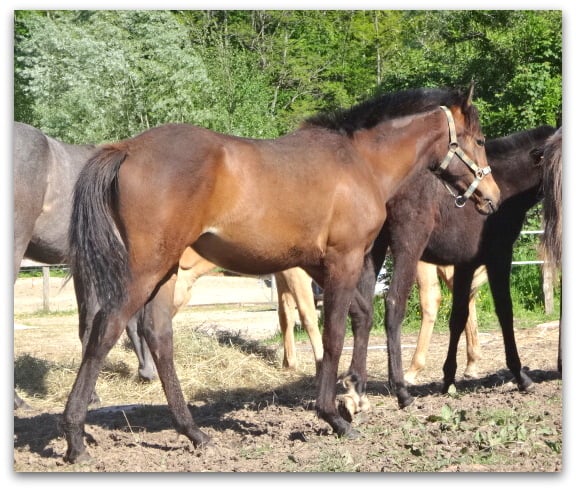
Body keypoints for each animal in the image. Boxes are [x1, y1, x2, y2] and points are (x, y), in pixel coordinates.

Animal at [63, 85, 499, 462]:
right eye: (479, 140)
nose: (491, 197)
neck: (360, 162)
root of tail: (126, 148)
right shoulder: (343, 261)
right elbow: (333, 334)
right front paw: (335, 415)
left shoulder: (319, 265)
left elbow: (360, 317)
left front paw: (356, 393)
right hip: (145, 271)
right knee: (106, 331)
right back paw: (75, 438)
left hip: (165, 273)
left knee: (158, 336)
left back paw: (193, 432)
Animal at [343, 124, 556, 413]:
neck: (506, 183)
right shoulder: (498, 257)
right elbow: (505, 312)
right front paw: (520, 375)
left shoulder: (466, 264)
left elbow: (458, 317)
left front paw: (448, 378)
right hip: (407, 251)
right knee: (393, 304)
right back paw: (401, 390)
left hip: (372, 254)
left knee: (362, 311)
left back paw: (358, 392)